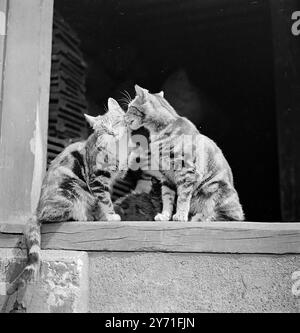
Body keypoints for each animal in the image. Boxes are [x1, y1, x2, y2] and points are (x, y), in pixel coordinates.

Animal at [10, 98, 127, 290]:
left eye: (116, 122)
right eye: (103, 130)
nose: (112, 132)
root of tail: (36, 209)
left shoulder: (109, 182)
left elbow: (101, 202)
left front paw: (103, 217)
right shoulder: (97, 179)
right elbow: (105, 200)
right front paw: (111, 216)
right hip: (70, 193)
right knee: (51, 216)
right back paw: (83, 217)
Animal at [124, 84, 244, 222]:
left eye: (130, 107)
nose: (123, 117)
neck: (160, 129)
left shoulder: (186, 171)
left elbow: (183, 197)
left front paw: (180, 215)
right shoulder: (166, 176)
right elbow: (167, 198)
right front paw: (165, 215)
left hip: (215, 189)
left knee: (228, 217)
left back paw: (201, 217)